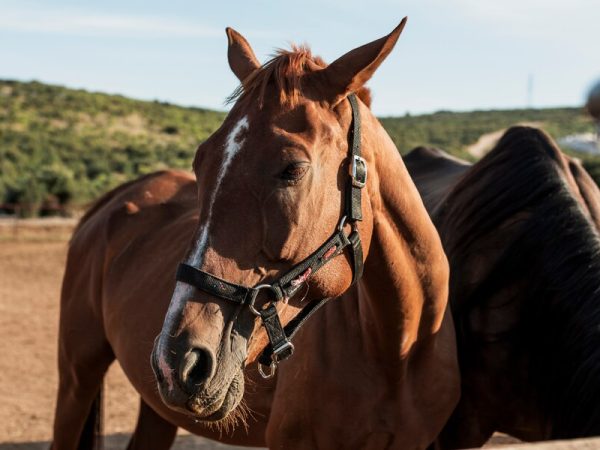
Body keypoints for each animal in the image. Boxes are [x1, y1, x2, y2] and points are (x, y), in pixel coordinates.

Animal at [54, 20, 462, 450]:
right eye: (201, 160)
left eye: (293, 169)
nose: (180, 360)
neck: (397, 349)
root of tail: (112, 201)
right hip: (77, 376)